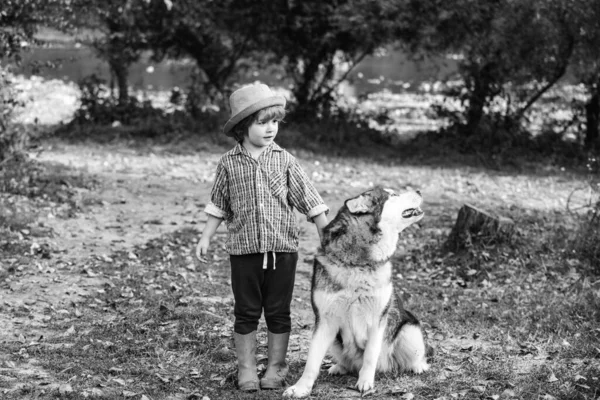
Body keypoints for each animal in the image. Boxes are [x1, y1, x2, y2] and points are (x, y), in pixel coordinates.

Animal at [284, 189, 428, 398]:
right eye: (392, 194)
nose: (418, 191)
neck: (358, 265)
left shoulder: (378, 320)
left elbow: (370, 355)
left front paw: (365, 382)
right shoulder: (324, 321)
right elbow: (312, 361)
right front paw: (301, 387)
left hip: (409, 330)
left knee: (413, 355)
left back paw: (419, 366)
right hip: (335, 342)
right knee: (347, 362)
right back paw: (340, 367)